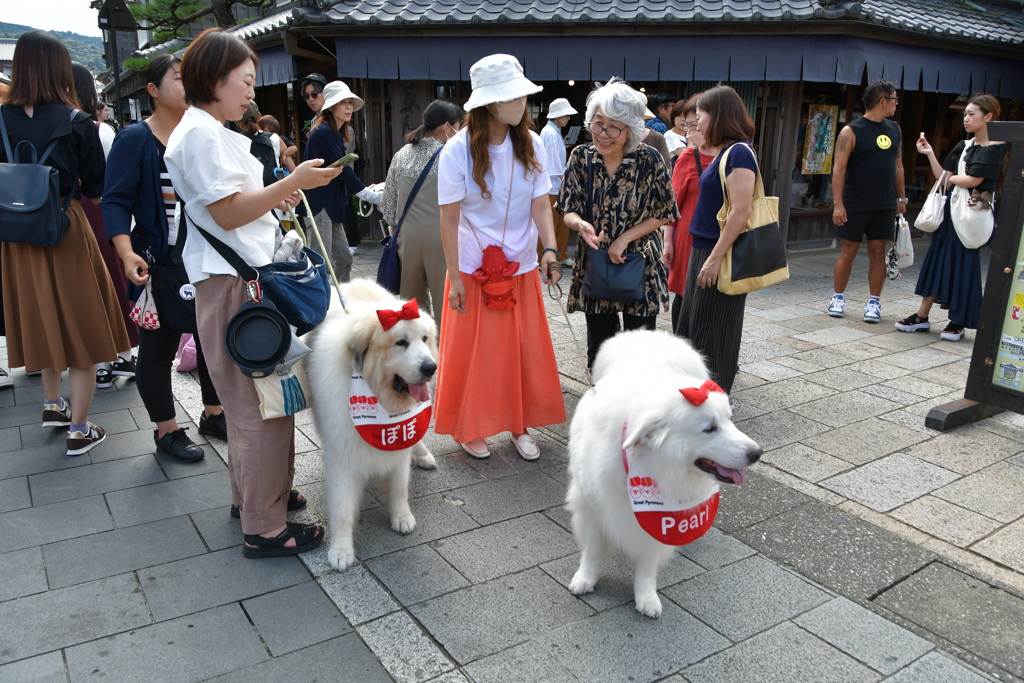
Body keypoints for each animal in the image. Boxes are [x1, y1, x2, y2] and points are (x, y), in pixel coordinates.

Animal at [565, 331, 765, 618]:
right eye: (709, 428)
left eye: (730, 420)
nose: (757, 453)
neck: (652, 464)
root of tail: (649, 333)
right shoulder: (593, 506)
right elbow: (592, 551)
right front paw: (585, 578)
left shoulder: (656, 519)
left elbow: (647, 564)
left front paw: (646, 595)